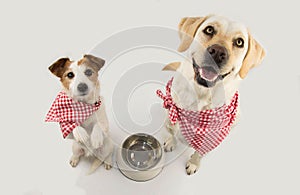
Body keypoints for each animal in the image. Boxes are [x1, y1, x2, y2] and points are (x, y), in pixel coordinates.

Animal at [162, 14, 264, 174]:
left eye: (239, 42)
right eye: (209, 29)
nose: (217, 51)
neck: (201, 95)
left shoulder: (211, 138)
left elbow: (199, 152)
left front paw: (193, 163)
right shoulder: (172, 111)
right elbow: (172, 130)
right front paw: (171, 142)